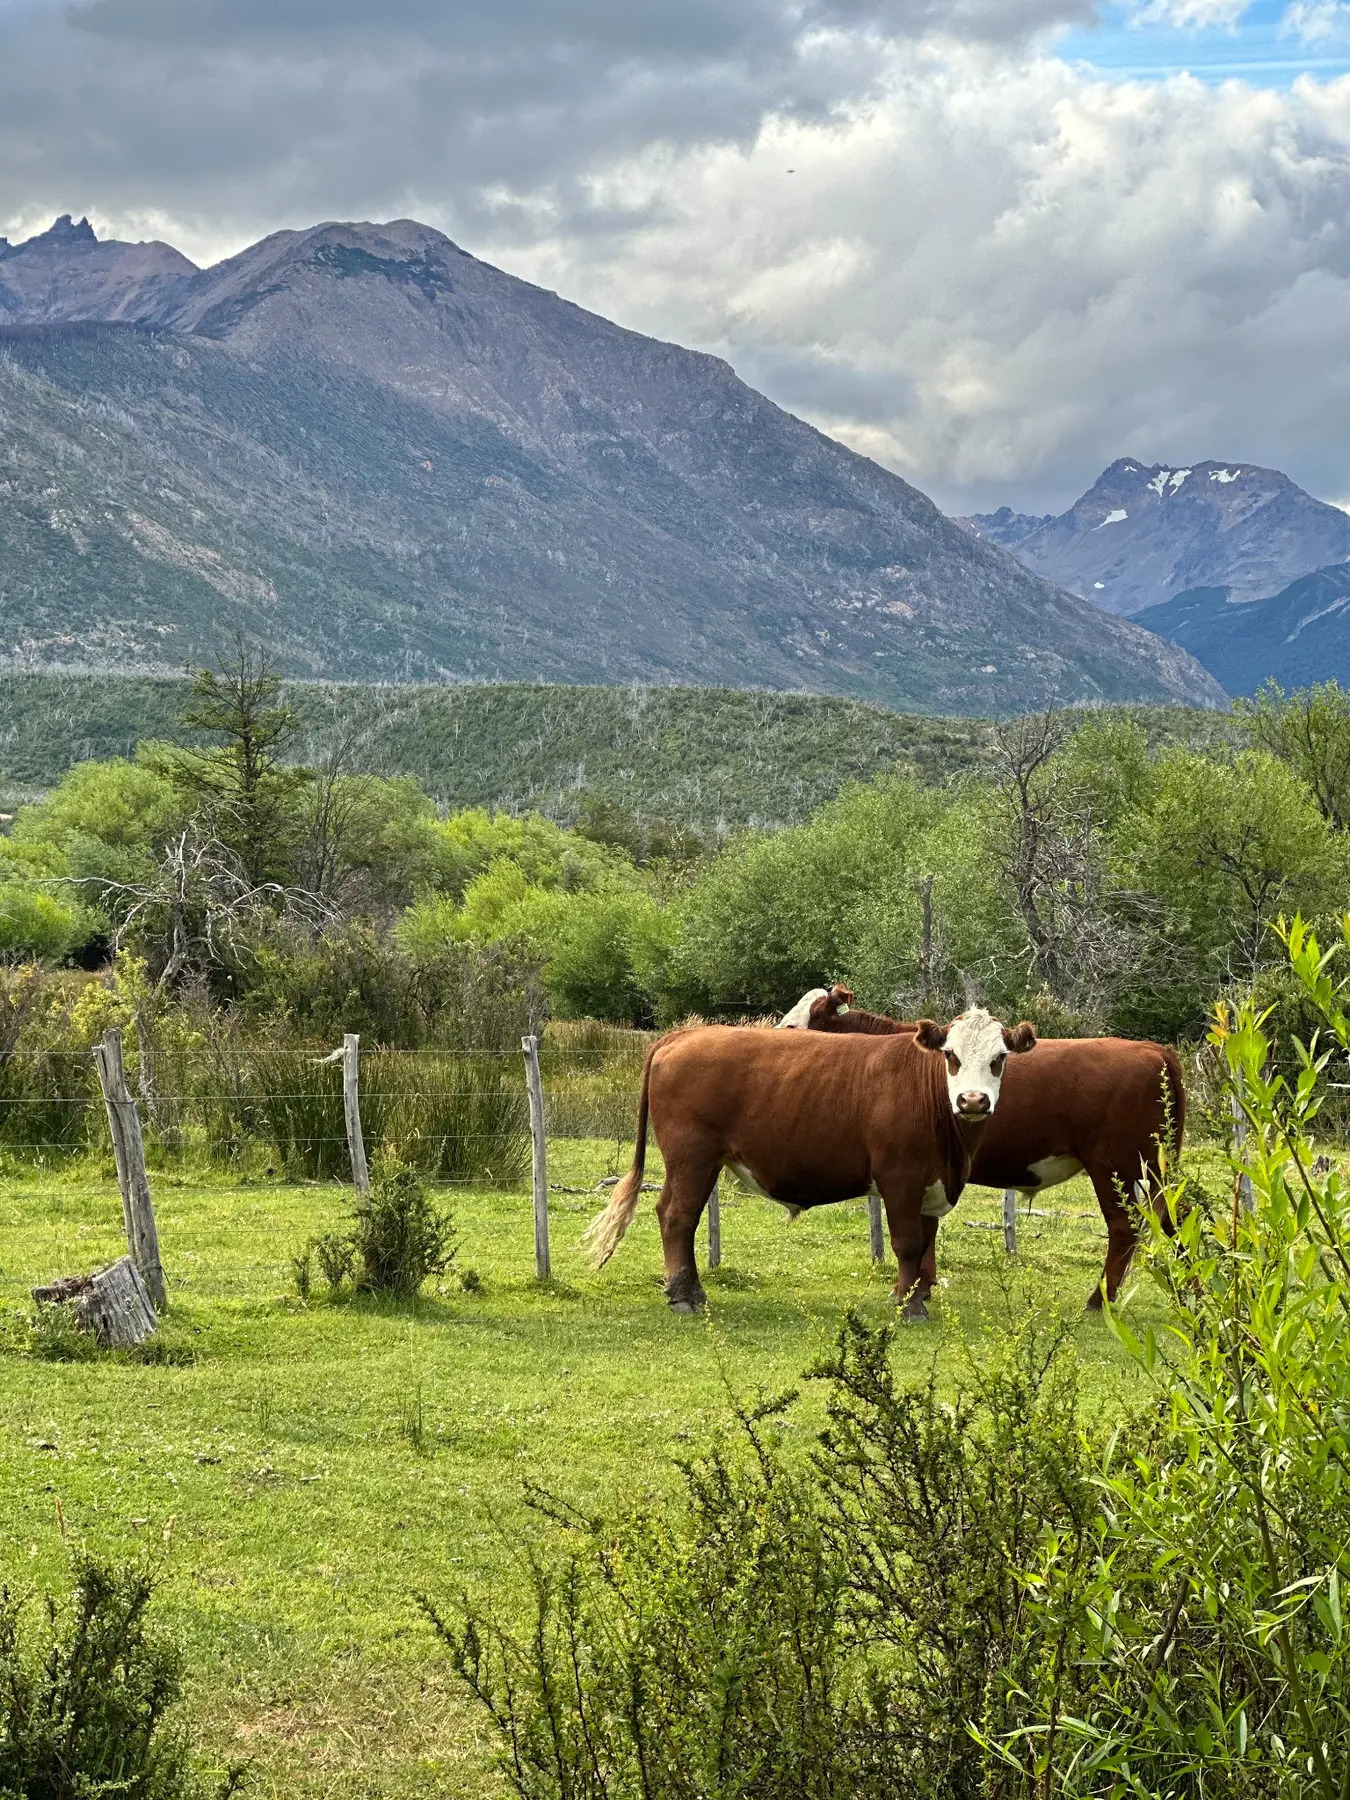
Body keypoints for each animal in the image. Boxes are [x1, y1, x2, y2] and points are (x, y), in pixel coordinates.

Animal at [582, 1008, 1036, 1319]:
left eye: (999, 1058)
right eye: (950, 1055)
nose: (973, 1100)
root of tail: (686, 1034)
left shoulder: (932, 1183)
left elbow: (926, 1243)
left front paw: (915, 1295)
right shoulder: (900, 1176)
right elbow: (907, 1243)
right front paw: (909, 1306)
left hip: (702, 1162)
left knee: (674, 1213)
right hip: (691, 1156)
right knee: (678, 1216)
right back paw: (684, 1296)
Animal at [787, 985, 1184, 1307]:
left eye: (792, 1027)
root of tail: (1152, 1049)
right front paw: (924, 1286)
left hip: (1113, 1165)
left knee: (1123, 1227)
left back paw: (1099, 1300)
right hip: (1155, 1168)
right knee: (1174, 1218)